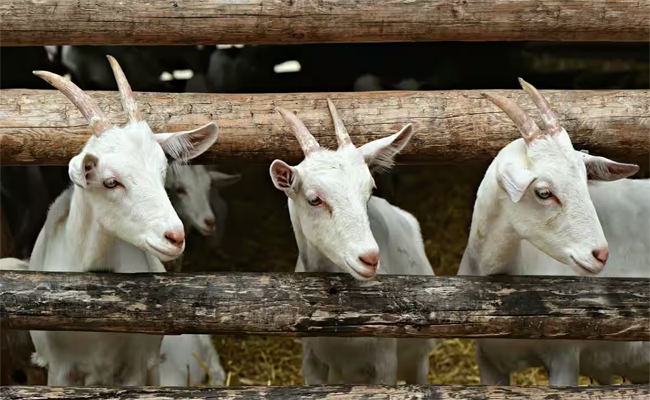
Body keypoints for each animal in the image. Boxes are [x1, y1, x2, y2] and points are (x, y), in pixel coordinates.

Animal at [269, 100, 434, 384]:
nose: (369, 258)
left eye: (370, 191)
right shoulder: (312, 360)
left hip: (418, 360)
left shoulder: (384, 362)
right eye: (314, 199)